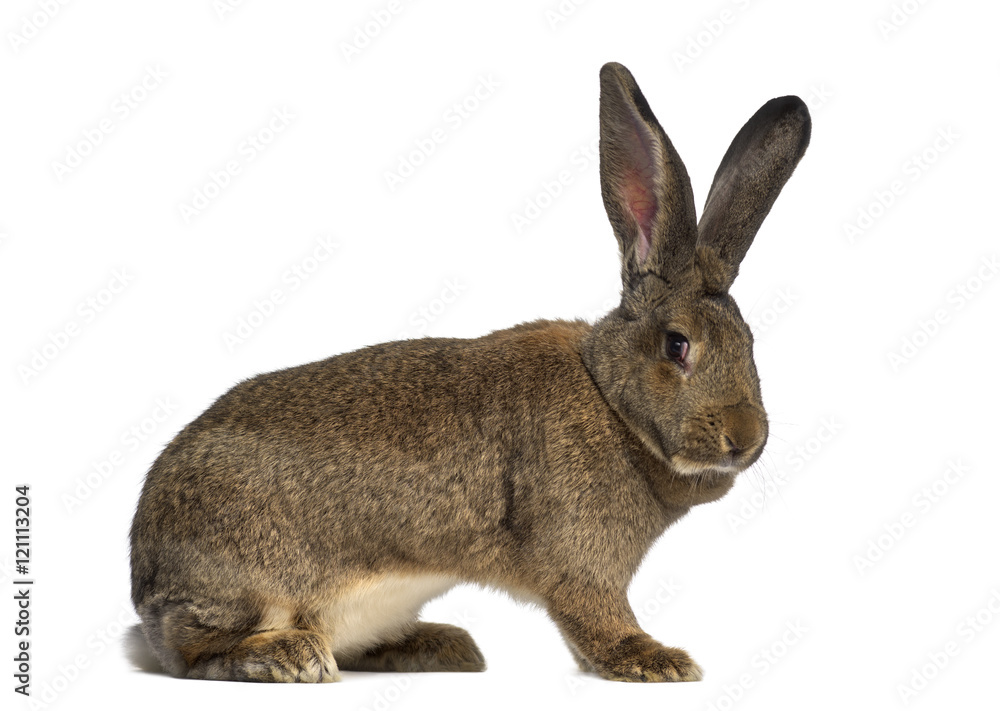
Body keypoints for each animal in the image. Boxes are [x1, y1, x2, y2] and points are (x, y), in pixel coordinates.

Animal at [129, 61, 810, 683]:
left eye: (750, 343)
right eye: (676, 346)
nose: (745, 437)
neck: (609, 401)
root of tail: (144, 574)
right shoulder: (579, 560)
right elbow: (596, 616)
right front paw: (656, 661)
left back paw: (442, 645)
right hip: (251, 582)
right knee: (192, 652)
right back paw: (288, 656)